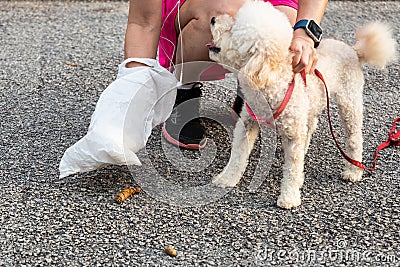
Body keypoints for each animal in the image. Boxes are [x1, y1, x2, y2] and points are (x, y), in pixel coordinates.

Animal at [209, 0, 396, 209]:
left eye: (233, 30)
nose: (213, 19)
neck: (272, 81)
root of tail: (353, 50)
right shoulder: (248, 123)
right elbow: (238, 155)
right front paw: (226, 179)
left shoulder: (292, 135)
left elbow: (292, 169)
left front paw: (289, 197)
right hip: (310, 105)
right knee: (310, 127)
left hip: (349, 102)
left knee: (354, 138)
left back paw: (353, 171)